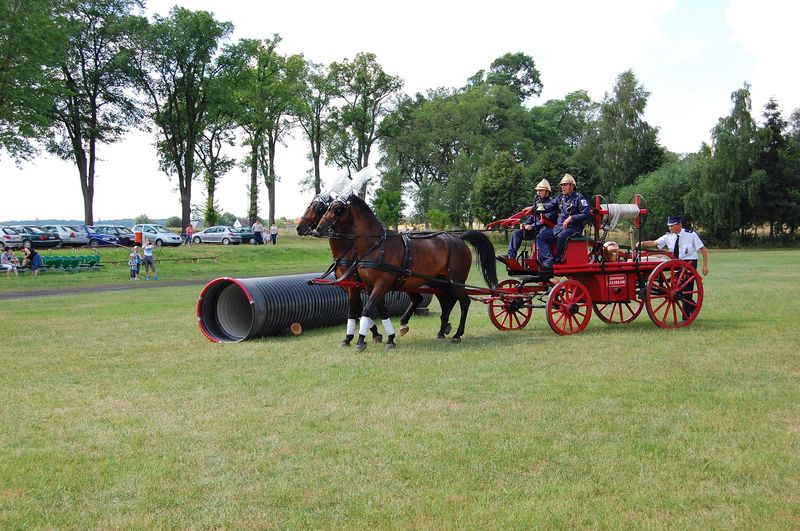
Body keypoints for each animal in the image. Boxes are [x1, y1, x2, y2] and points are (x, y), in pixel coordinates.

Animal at [296, 193, 382, 348]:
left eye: (317, 207)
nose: (299, 227)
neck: (346, 249)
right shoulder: (346, 286)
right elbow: (358, 308)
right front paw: (374, 332)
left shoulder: (353, 285)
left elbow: (354, 309)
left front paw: (350, 337)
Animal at [316, 193, 496, 352]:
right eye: (326, 208)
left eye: (338, 209)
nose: (319, 228)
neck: (375, 244)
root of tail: (459, 239)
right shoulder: (368, 286)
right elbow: (376, 310)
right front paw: (389, 338)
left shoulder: (379, 284)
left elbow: (365, 309)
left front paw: (360, 340)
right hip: (438, 281)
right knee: (447, 301)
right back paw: (441, 329)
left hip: (456, 281)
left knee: (464, 302)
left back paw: (457, 334)